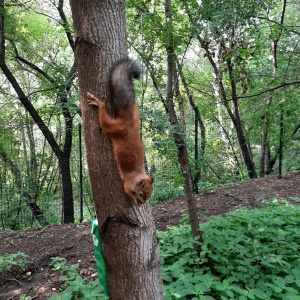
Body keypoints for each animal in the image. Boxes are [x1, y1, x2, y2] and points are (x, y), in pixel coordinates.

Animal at [86, 57, 152, 206]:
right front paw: (134, 201)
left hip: (135, 114)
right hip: (112, 127)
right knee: (104, 119)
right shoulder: (127, 185)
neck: (137, 174)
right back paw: (98, 103)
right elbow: (127, 191)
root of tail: (128, 120)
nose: (141, 203)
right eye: (141, 193)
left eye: (149, 195)